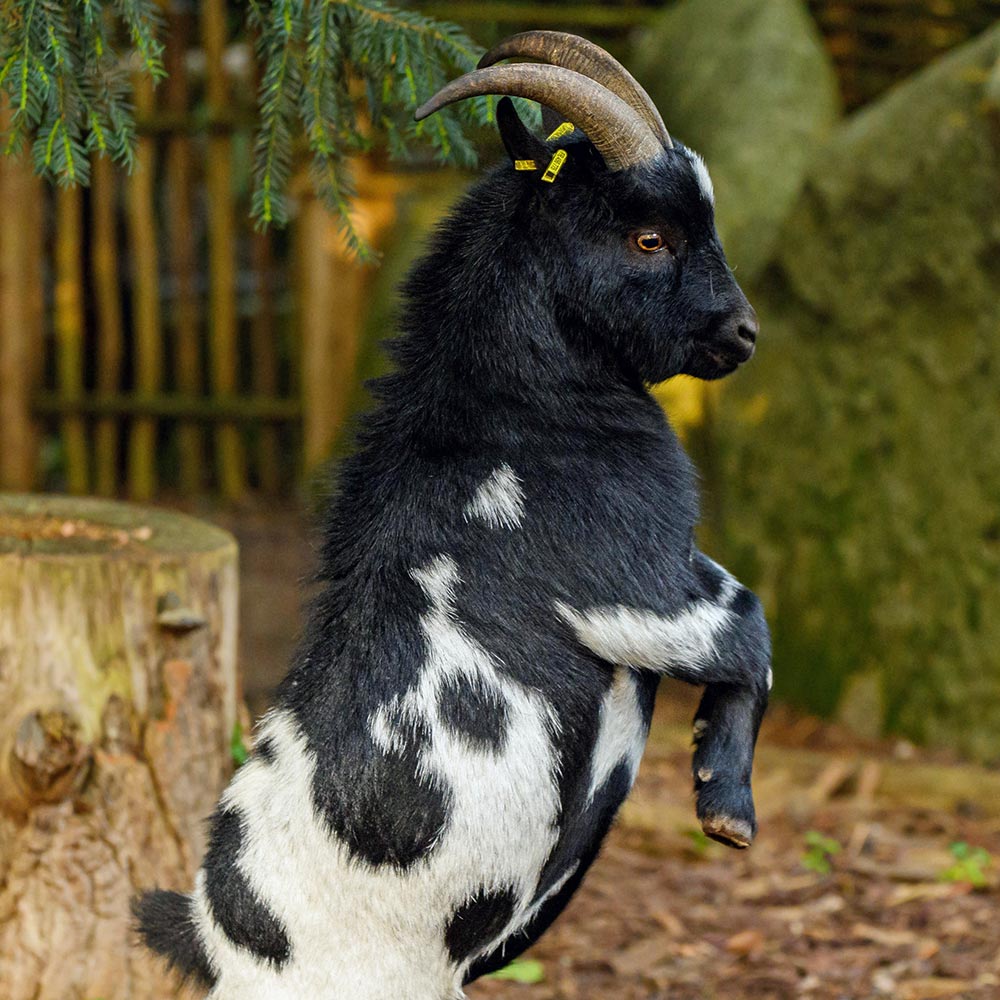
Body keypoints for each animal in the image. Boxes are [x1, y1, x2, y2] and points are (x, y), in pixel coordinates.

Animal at [135, 31, 771, 1000]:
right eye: (649, 235)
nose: (742, 334)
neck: (511, 413)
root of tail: (214, 936)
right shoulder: (635, 586)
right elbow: (752, 631)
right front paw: (726, 806)